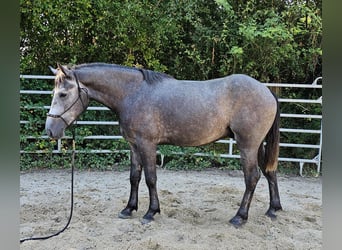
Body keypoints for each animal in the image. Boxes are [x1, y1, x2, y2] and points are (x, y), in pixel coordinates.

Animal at [45, 62, 282, 227]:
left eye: (63, 94)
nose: (50, 130)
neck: (133, 93)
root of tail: (267, 91)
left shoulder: (147, 145)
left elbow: (150, 178)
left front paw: (151, 212)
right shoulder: (134, 145)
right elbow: (134, 177)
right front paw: (129, 209)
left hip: (247, 145)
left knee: (252, 177)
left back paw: (240, 217)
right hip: (258, 145)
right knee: (269, 172)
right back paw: (273, 210)